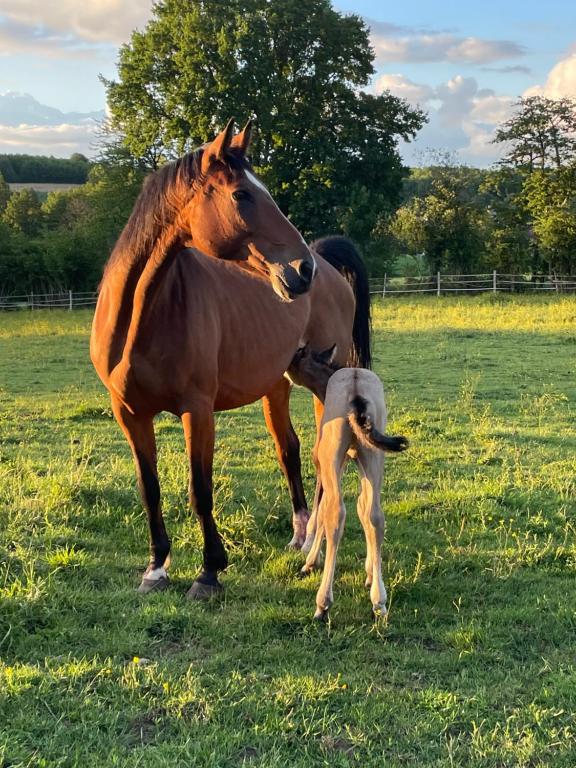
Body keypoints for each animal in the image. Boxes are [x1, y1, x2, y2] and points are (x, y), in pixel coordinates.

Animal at [90, 121, 368, 600]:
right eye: (242, 194)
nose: (302, 269)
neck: (142, 318)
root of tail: (329, 264)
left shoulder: (197, 411)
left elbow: (200, 490)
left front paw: (209, 572)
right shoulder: (129, 414)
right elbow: (150, 489)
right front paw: (156, 568)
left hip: (323, 386)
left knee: (321, 460)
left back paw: (314, 539)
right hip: (277, 385)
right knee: (290, 450)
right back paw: (300, 534)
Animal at [286, 344, 404, 620]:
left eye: (299, 353)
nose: (284, 366)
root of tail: (356, 393)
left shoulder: (325, 461)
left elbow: (321, 509)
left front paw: (309, 560)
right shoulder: (361, 460)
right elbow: (363, 507)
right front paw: (370, 572)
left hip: (332, 454)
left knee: (336, 512)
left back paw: (322, 603)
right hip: (374, 455)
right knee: (375, 514)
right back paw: (379, 602)